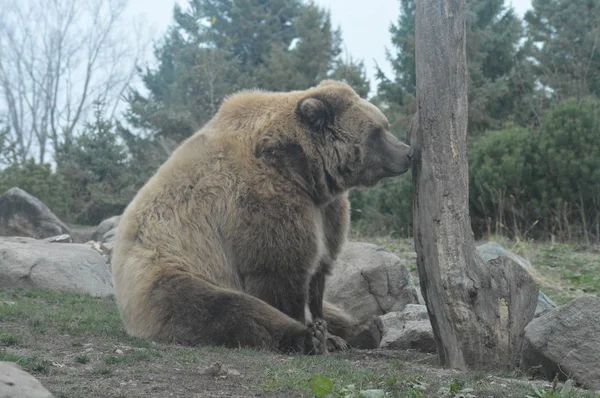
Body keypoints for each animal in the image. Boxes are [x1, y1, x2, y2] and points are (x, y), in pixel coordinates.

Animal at [111, 80, 412, 354]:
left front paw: (331, 331)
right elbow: (281, 272)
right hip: (171, 273)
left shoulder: (327, 212)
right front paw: (317, 333)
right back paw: (307, 339)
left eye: (384, 125)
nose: (408, 152)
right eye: (377, 131)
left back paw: (366, 328)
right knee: (224, 309)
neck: (302, 171)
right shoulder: (263, 201)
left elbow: (319, 277)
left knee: (334, 308)